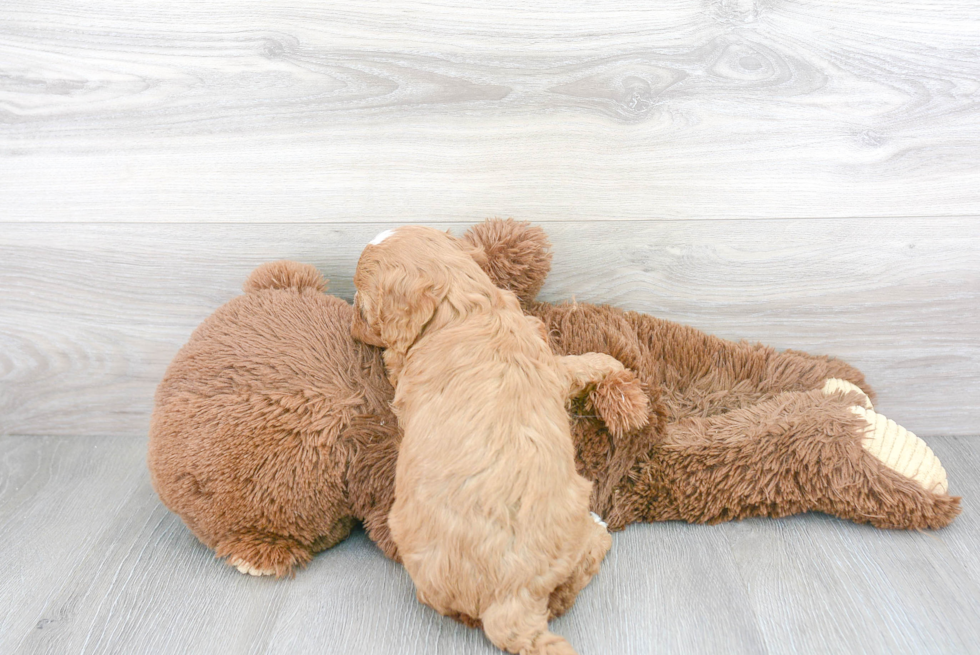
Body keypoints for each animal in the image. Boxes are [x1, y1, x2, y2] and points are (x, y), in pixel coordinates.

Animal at [352, 227, 644, 655]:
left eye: (360, 298)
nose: (350, 319)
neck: (461, 306)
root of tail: (510, 600)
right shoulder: (552, 368)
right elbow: (586, 363)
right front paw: (614, 367)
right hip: (573, 515)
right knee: (574, 579)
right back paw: (598, 527)